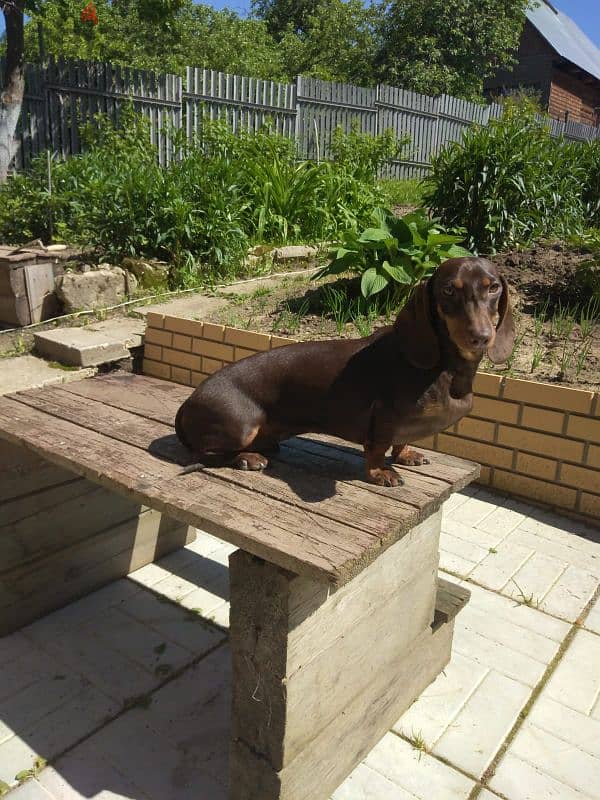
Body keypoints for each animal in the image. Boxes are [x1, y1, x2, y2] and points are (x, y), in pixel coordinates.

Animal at [175, 260, 516, 488]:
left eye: (494, 287)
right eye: (448, 290)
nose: (482, 337)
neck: (444, 367)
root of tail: (185, 407)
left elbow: (401, 441)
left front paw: (406, 454)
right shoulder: (384, 418)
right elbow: (377, 448)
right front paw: (380, 473)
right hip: (241, 425)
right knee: (203, 453)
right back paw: (246, 458)